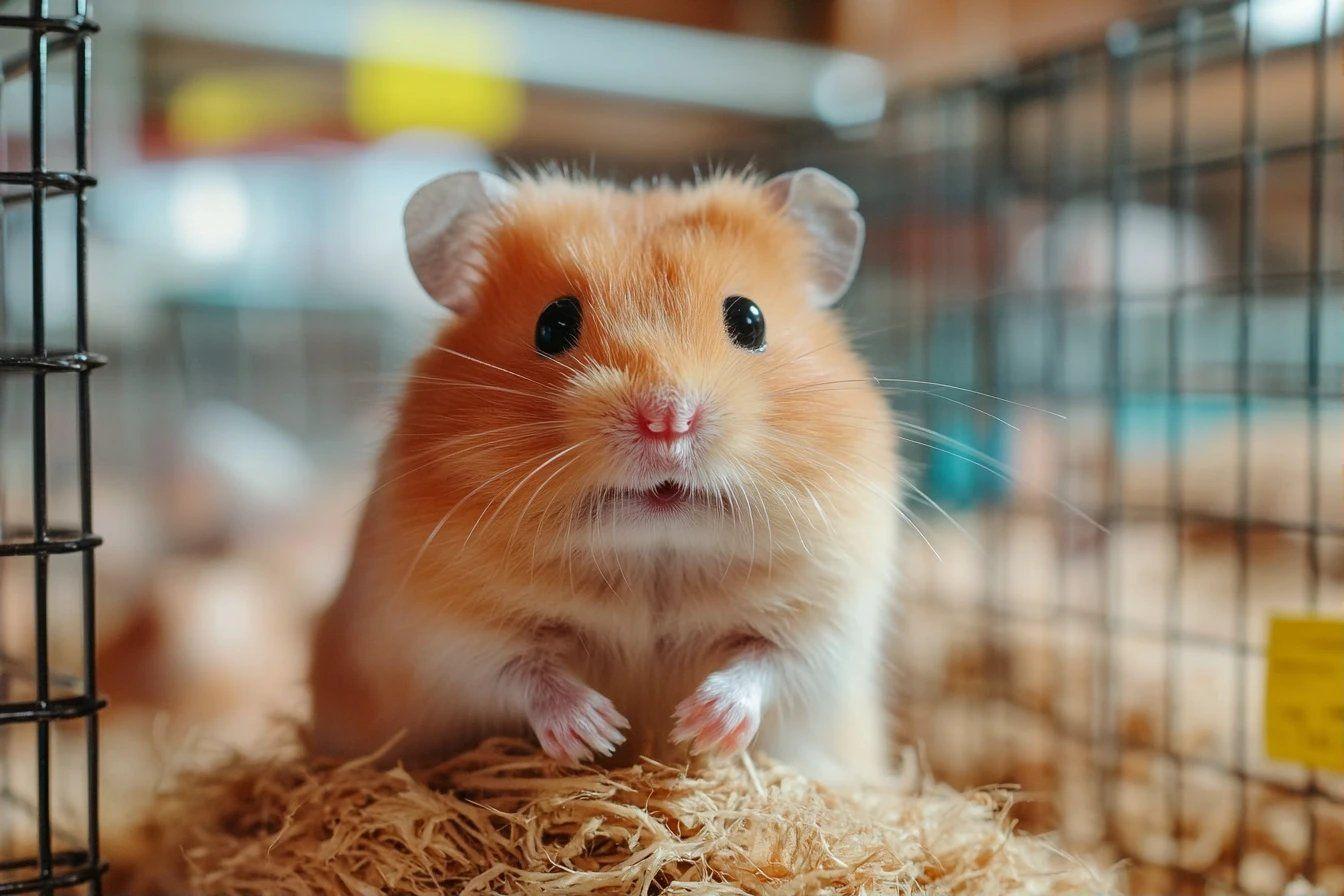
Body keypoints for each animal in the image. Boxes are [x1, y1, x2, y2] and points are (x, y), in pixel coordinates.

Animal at [309, 168, 899, 782]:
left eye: (749, 319)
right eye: (553, 324)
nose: (667, 419)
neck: (652, 557)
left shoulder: (825, 620)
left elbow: (769, 663)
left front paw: (695, 724)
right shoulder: (445, 635)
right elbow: (521, 673)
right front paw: (602, 732)